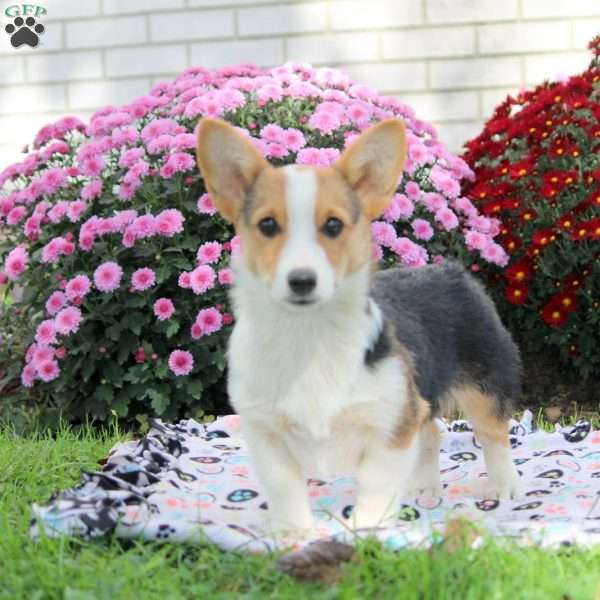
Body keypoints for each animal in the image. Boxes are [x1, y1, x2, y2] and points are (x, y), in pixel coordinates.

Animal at [196, 119, 520, 532]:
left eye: (333, 225)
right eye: (267, 225)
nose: (302, 281)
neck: (308, 335)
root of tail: (449, 269)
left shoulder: (391, 423)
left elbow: (377, 489)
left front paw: (367, 532)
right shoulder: (265, 432)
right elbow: (284, 489)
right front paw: (294, 534)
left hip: (484, 383)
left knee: (493, 432)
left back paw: (503, 486)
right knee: (431, 431)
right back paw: (425, 486)